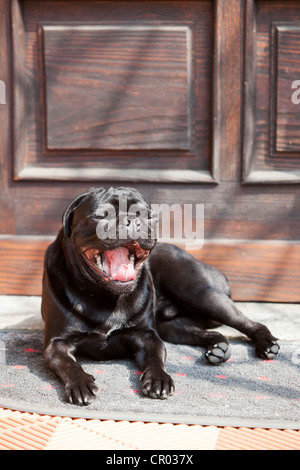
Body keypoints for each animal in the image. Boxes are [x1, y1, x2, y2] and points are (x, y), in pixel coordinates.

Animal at [41, 186, 278, 404]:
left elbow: (156, 358)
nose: (131, 220)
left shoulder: (147, 336)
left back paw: (267, 345)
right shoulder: (57, 344)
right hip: (173, 327)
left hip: (201, 294)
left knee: (249, 323)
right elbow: (69, 364)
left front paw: (158, 380)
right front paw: (80, 383)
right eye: (102, 214)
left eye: (146, 214)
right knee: (207, 333)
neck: (105, 297)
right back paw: (218, 349)